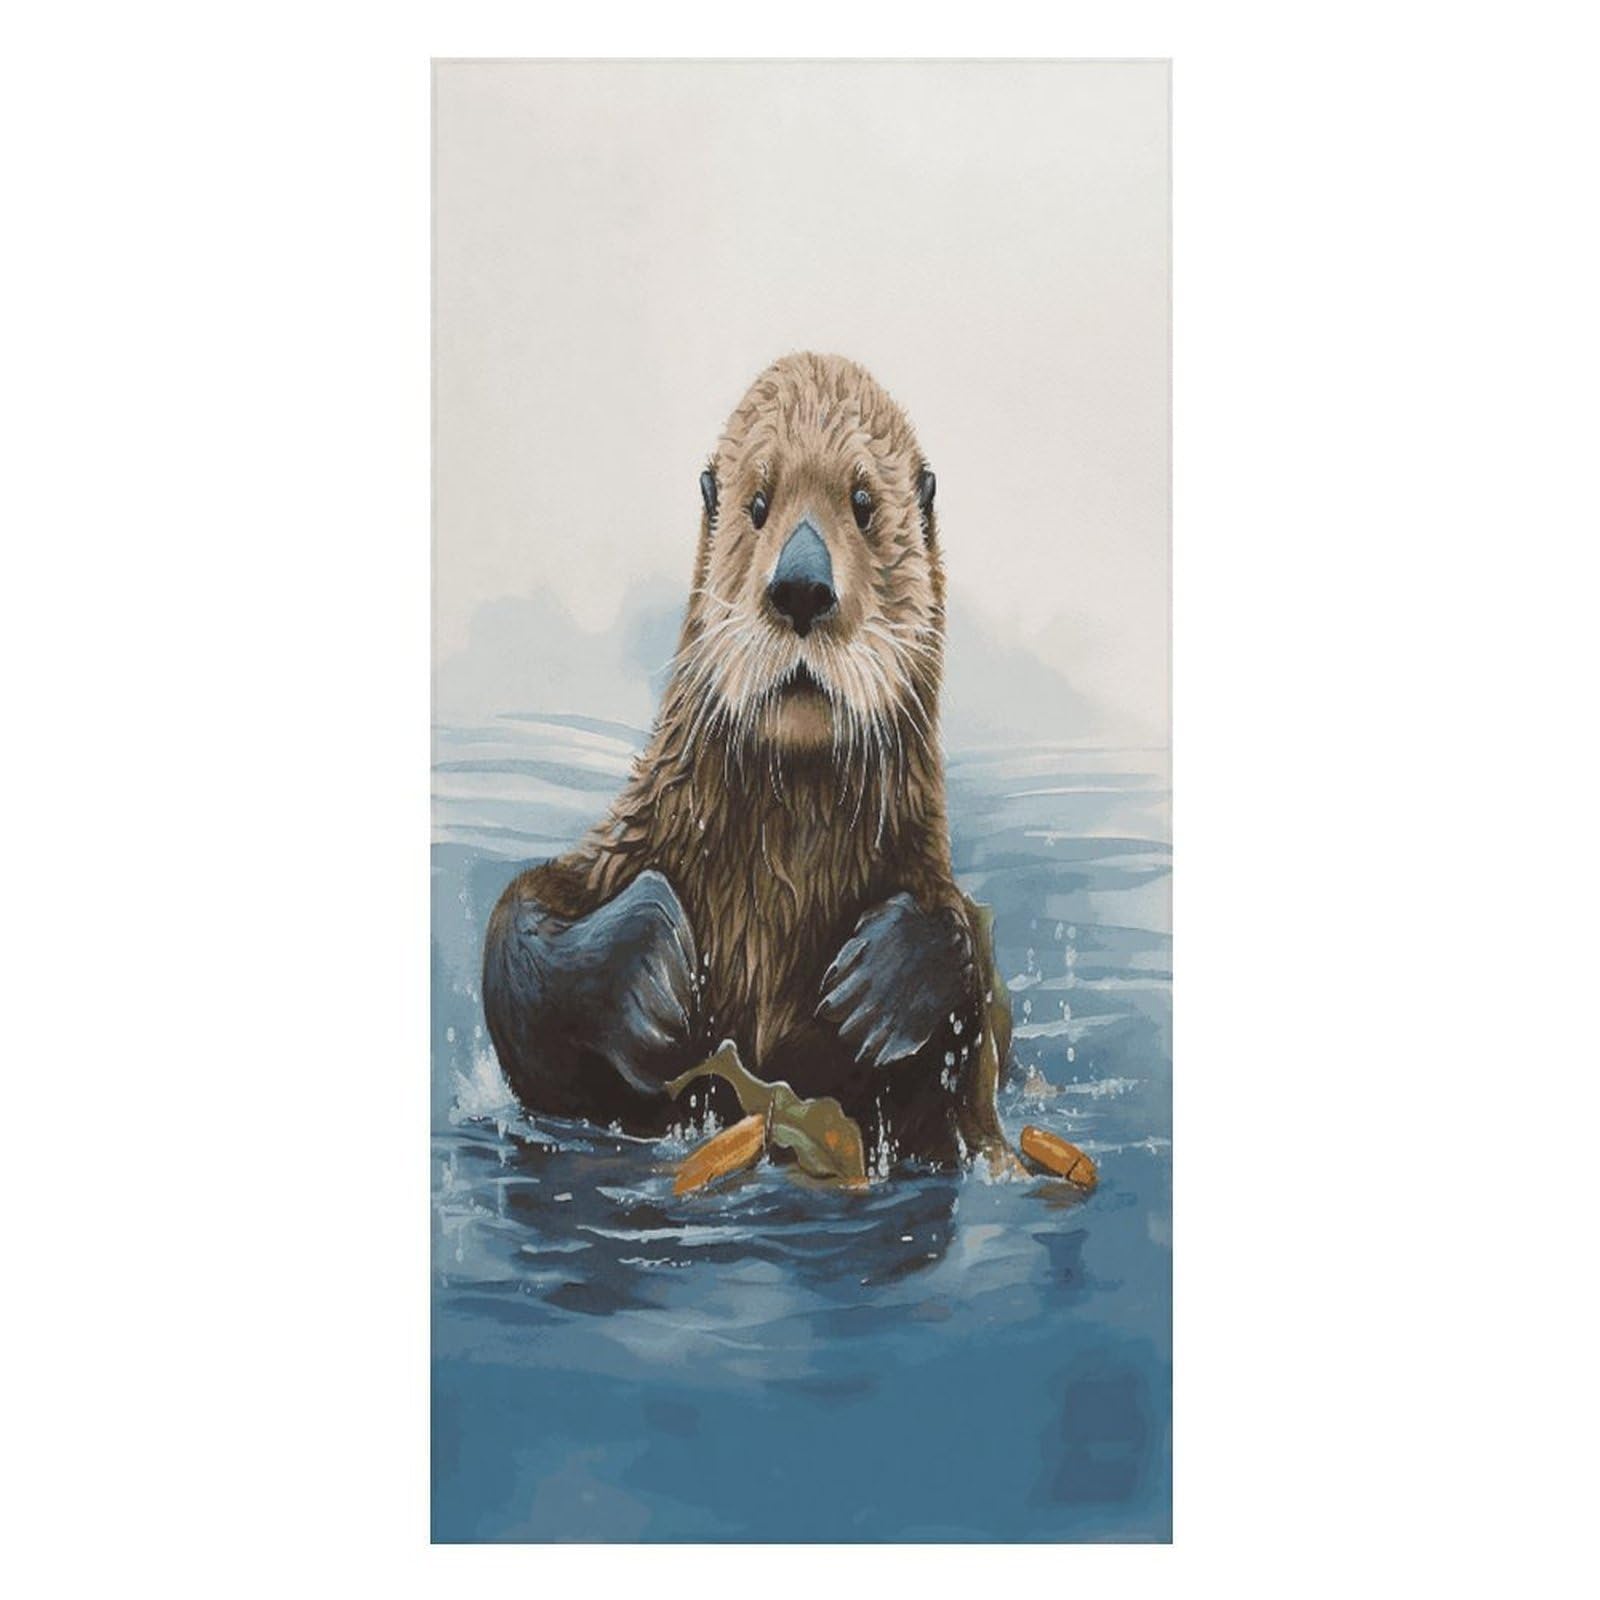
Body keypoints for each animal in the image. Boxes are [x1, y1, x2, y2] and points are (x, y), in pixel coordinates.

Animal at [482, 353, 1009, 1169]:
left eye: (863, 504)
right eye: (757, 506)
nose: (801, 586)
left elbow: (967, 993)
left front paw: (887, 980)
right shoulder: (625, 847)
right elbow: (518, 946)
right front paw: (646, 964)